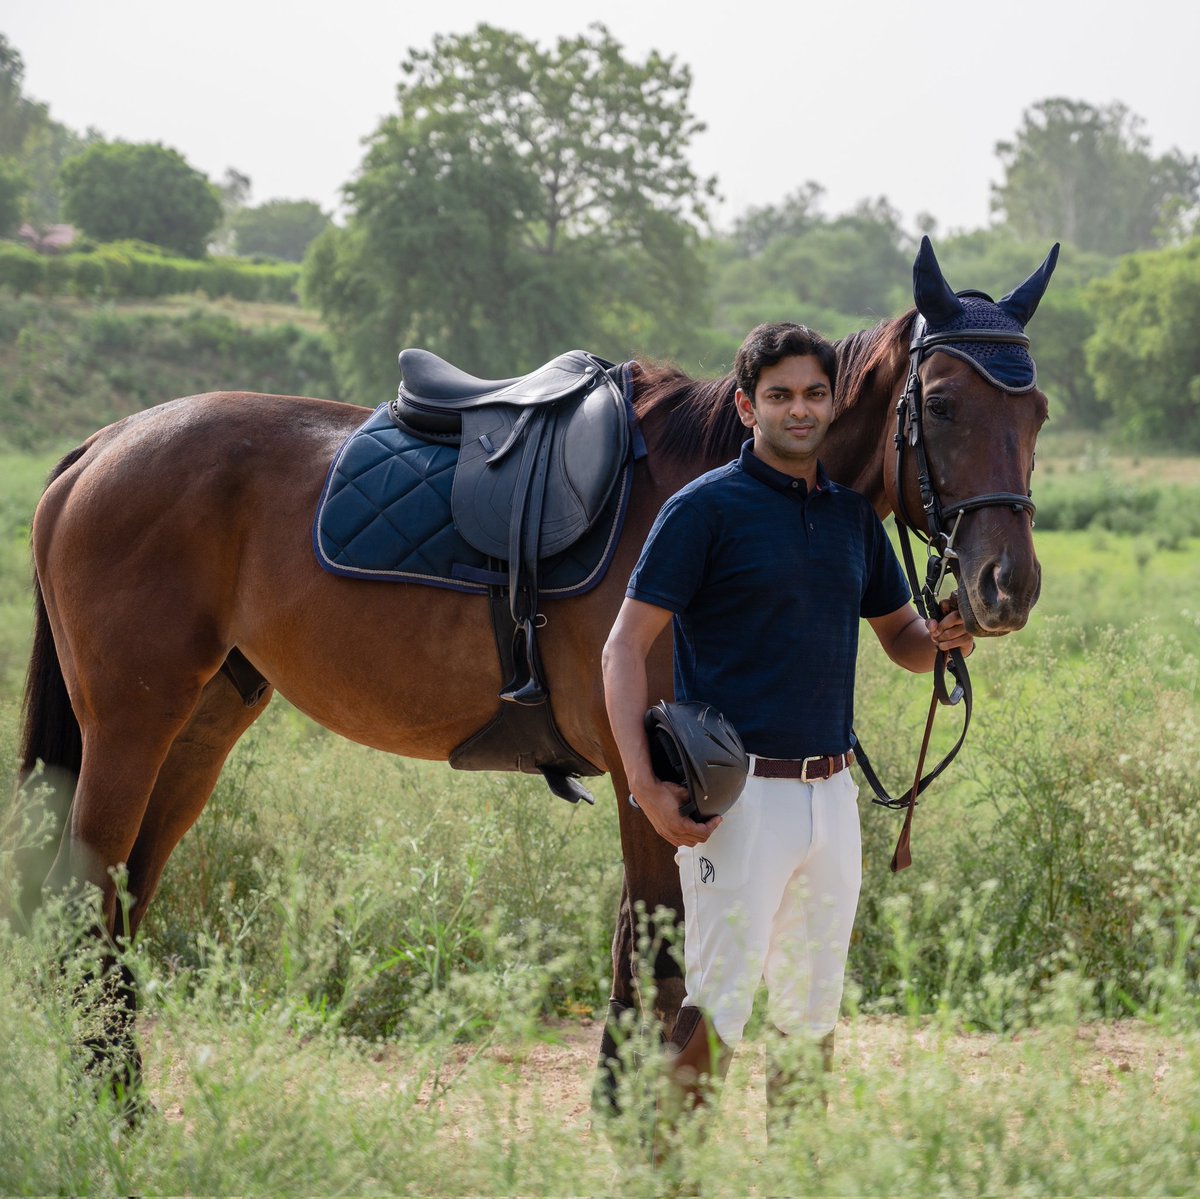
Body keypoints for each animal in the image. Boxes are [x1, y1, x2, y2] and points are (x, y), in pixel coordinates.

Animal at [15, 236, 1057, 1109]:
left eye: (1037, 411)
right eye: (946, 404)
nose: (1006, 586)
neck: (721, 478)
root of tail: (103, 447)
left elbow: (644, 964)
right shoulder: (654, 781)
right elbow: (655, 960)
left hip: (198, 729)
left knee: (126, 896)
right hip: (130, 726)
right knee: (86, 896)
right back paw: (109, 1108)